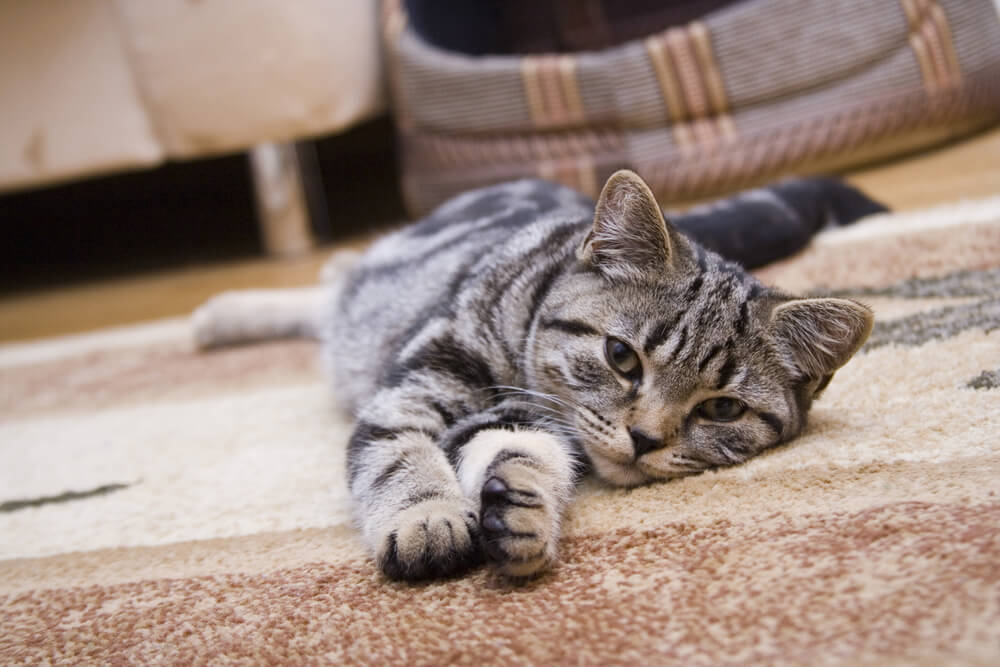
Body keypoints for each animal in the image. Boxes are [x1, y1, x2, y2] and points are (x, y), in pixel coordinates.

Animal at [191, 170, 880, 580]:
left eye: (723, 409)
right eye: (622, 357)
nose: (645, 439)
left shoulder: (516, 417)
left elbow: (518, 451)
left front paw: (520, 509)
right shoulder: (419, 381)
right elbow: (398, 453)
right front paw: (426, 517)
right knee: (333, 289)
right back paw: (219, 315)